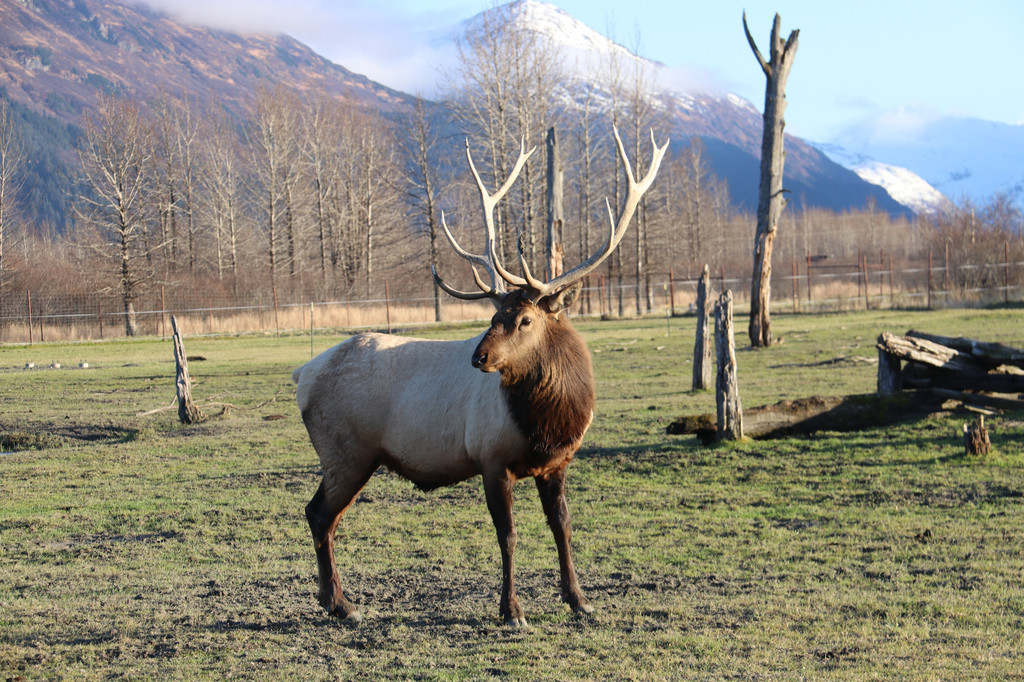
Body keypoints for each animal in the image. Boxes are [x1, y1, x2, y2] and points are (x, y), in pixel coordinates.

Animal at [292, 127, 667, 626]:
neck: (549, 423)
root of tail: (302, 374)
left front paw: (579, 599)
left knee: (321, 515)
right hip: (346, 452)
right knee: (318, 513)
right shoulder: (491, 457)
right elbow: (508, 536)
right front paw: (512, 611)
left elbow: (563, 526)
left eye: (524, 319)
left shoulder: (558, 463)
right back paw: (343, 604)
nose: (479, 357)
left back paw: (331, 601)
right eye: (494, 315)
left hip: (350, 457)